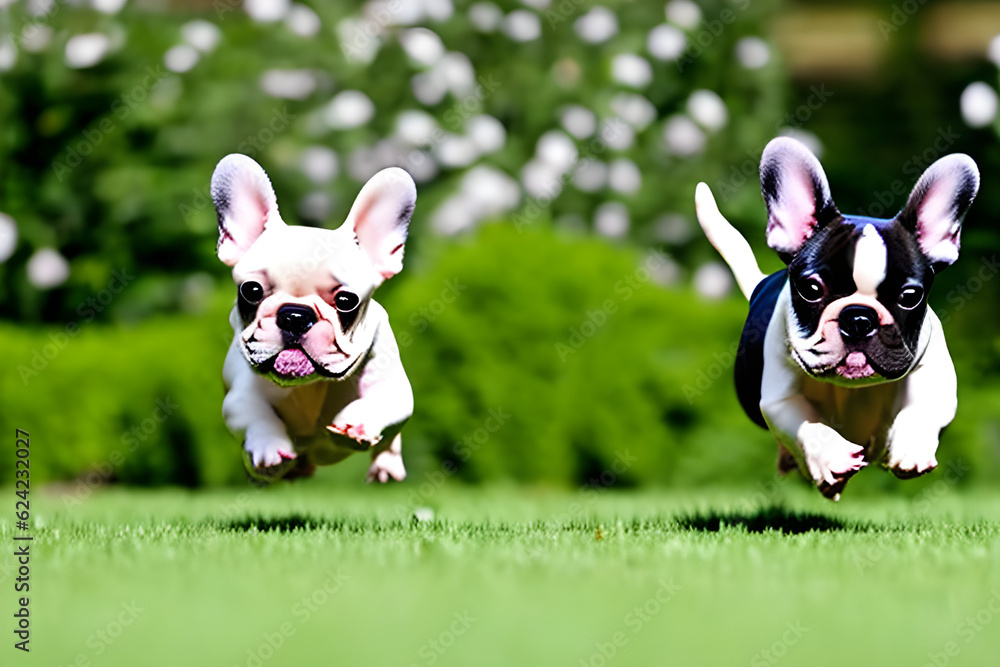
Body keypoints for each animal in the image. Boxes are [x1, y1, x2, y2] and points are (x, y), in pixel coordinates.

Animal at [211, 154, 414, 482]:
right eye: (251, 290)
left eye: (346, 301)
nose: (295, 315)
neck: (312, 384)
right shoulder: (240, 395)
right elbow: (255, 413)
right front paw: (269, 446)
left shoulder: (393, 388)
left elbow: (378, 402)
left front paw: (356, 422)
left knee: (390, 443)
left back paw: (386, 465)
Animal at [696, 137, 976, 500]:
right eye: (812, 288)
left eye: (910, 296)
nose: (858, 318)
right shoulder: (779, 399)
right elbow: (808, 424)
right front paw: (831, 456)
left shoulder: (935, 374)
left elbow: (923, 407)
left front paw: (911, 448)